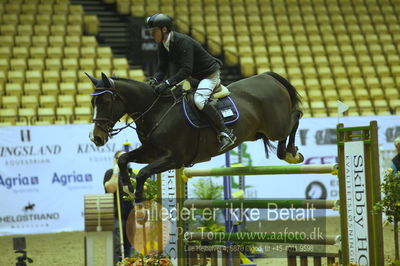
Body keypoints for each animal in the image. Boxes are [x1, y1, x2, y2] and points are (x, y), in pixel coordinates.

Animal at [86, 71, 304, 203]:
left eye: (106, 101)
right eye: (92, 102)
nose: (96, 138)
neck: (156, 110)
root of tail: (268, 77)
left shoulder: (174, 159)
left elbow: (143, 173)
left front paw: (138, 196)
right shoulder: (151, 153)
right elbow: (124, 159)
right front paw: (128, 188)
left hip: (276, 127)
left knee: (296, 117)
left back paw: (290, 154)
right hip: (258, 133)